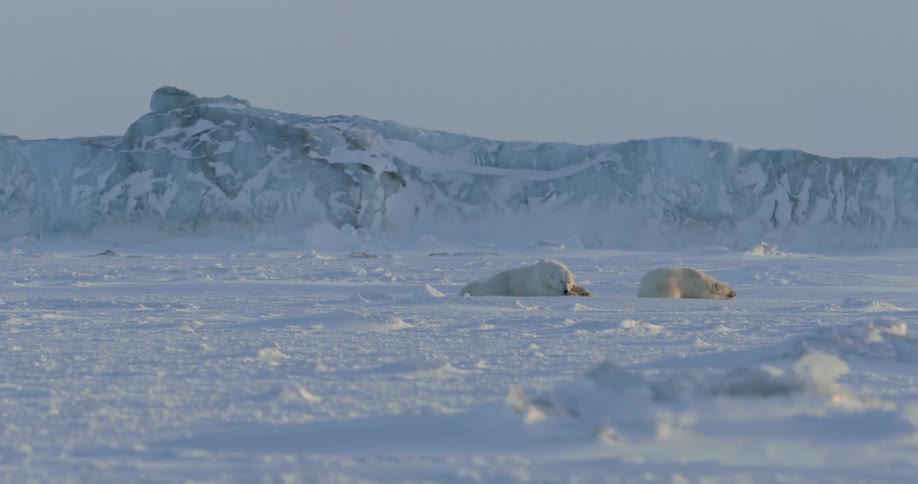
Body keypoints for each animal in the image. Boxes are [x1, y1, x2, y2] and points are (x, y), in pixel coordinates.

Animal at [460, 259, 592, 297]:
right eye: (560, 281)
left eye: (568, 281)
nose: (565, 290)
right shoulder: (538, 279)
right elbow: (546, 291)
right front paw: (573, 294)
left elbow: (578, 286)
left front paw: (586, 292)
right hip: (501, 284)